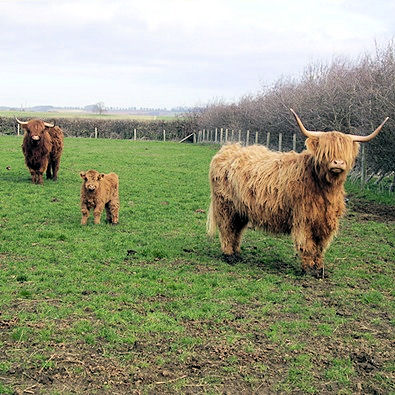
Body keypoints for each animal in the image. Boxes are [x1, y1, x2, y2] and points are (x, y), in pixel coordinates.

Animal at [207, 109, 390, 278]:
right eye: (326, 151)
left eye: (344, 150)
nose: (338, 163)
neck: (325, 188)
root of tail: (228, 149)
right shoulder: (304, 219)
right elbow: (307, 245)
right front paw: (308, 270)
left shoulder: (325, 222)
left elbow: (320, 247)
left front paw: (319, 270)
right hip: (225, 205)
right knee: (227, 228)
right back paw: (229, 255)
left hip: (241, 209)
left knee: (237, 230)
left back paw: (238, 253)